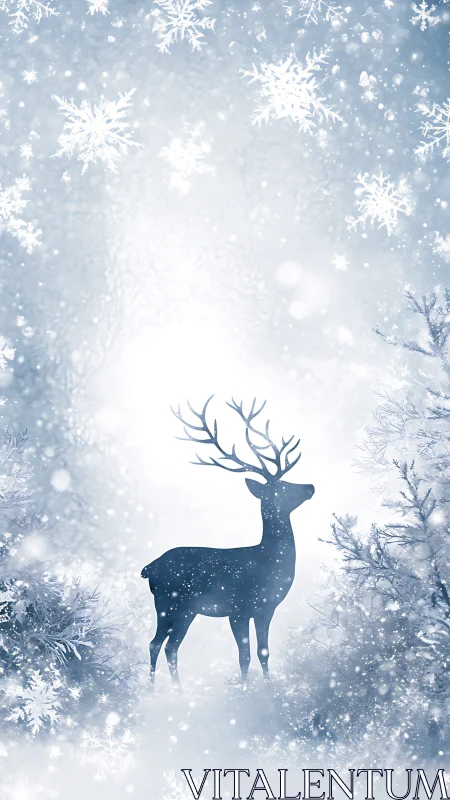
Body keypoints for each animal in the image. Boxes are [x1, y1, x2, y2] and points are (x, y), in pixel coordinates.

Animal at [141, 396, 314, 689]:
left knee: (171, 646)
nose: (311, 486)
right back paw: (153, 690)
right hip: (169, 602)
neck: (267, 564)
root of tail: (149, 568)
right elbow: (244, 655)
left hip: (187, 611)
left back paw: (178, 691)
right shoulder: (239, 607)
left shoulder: (266, 608)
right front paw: (244, 691)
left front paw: (268, 688)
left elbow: (263, 652)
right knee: (156, 643)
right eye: (283, 487)